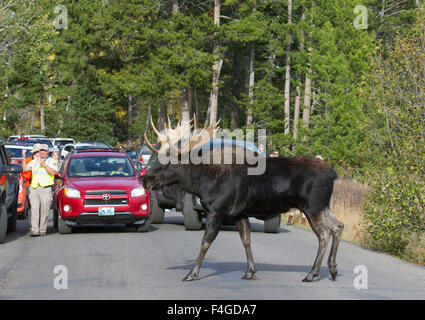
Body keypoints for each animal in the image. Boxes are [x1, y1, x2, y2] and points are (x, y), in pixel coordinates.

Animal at [144, 119, 342, 282]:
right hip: (322, 207)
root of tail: (334, 174)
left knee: (324, 234)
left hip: (312, 207)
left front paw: (192, 274)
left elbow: (205, 242)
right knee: (338, 226)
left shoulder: (217, 210)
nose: (145, 178)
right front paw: (250, 271)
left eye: (170, 162)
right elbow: (246, 240)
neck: (200, 181)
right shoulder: (239, 214)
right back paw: (332, 269)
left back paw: (312, 274)